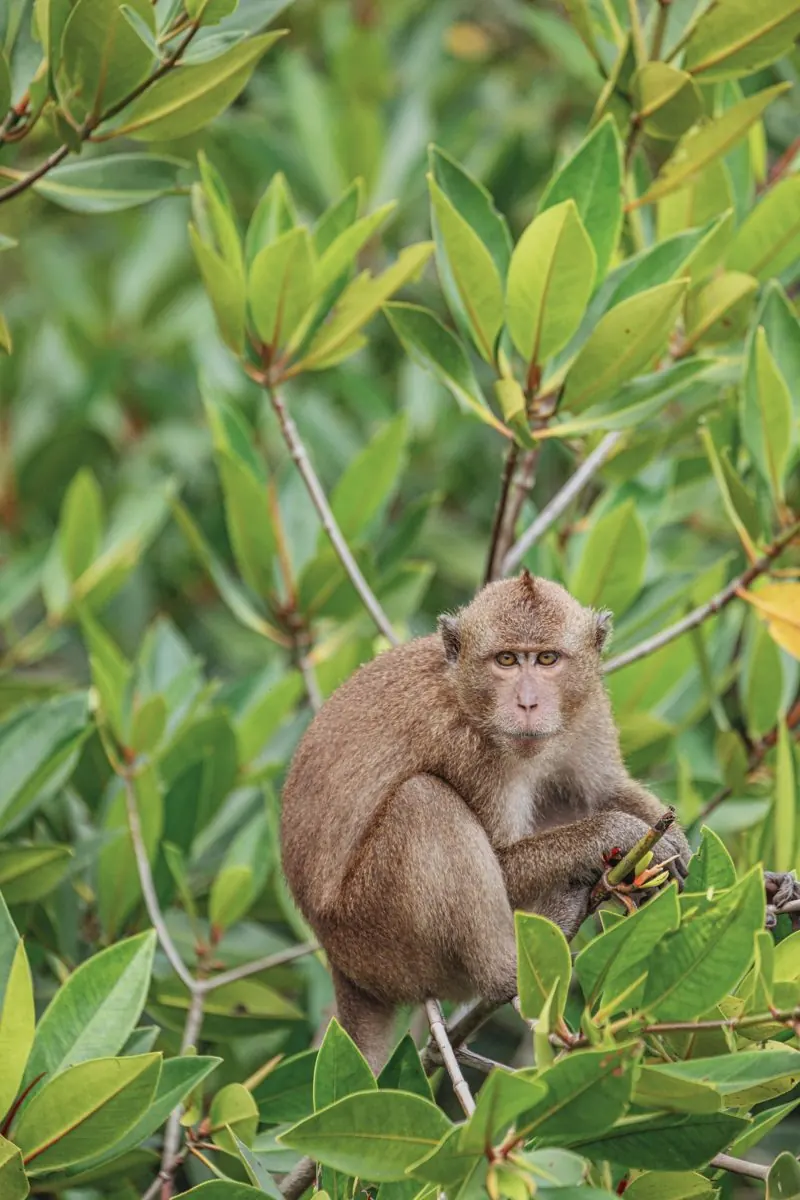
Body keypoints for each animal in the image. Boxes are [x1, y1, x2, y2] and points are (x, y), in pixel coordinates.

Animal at [280, 571, 691, 1073]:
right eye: (507, 660)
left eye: (547, 658)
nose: (528, 703)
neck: (464, 691)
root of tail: (341, 964)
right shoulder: (465, 747)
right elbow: (502, 859)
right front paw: (617, 833)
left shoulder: (589, 708)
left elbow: (599, 790)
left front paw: (682, 844)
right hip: (374, 932)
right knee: (424, 800)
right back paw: (508, 972)